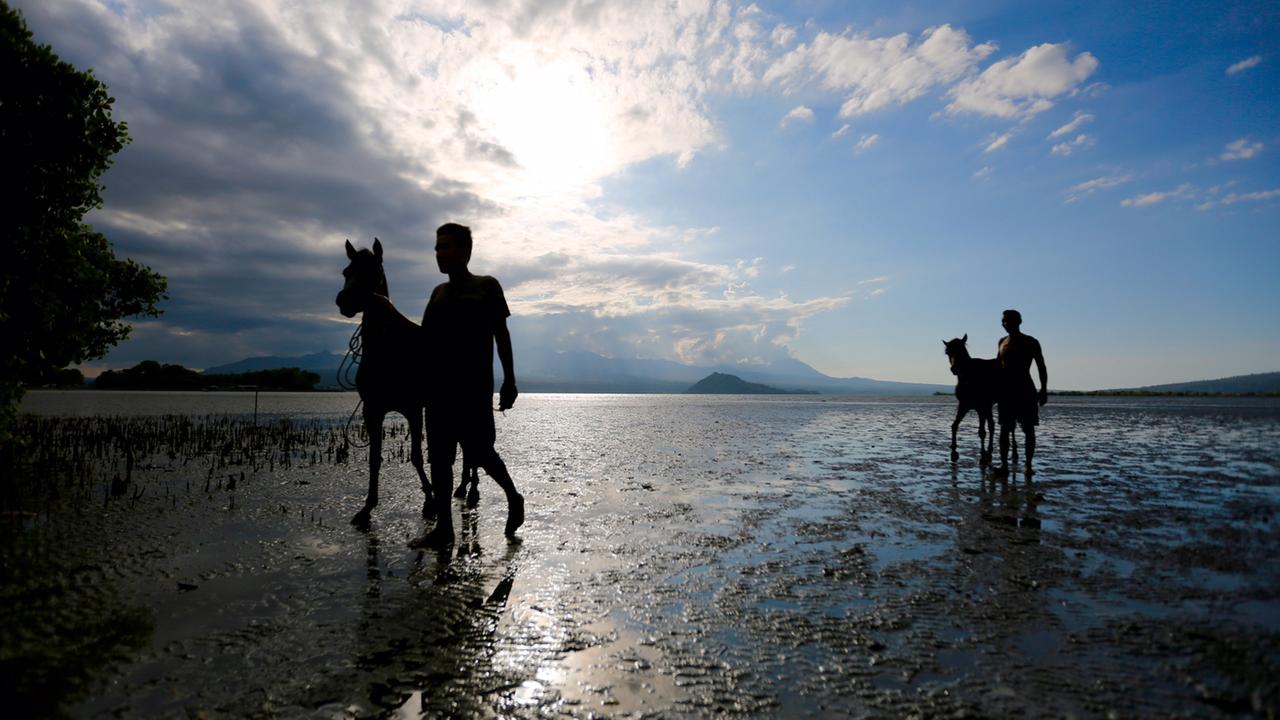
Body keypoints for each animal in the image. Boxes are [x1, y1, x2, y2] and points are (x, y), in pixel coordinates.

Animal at [335, 238, 435, 525]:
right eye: (346, 272)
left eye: (374, 273)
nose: (344, 301)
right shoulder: (373, 410)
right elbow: (374, 459)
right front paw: (367, 507)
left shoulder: (413, 409)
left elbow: (416, 456)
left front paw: (430, 501)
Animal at [947, 333, 1013, 461]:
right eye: (948, 352)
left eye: (962, 350)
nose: (954, 369)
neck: (968, 378)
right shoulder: (964, 405)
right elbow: (955, 425)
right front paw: (953, 448)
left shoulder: (981, 407)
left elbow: (982, 431)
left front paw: (983, 453)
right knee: (992, 424)